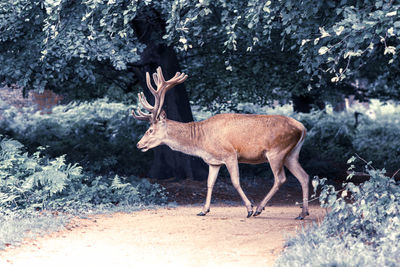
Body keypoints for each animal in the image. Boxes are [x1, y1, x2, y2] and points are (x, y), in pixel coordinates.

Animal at [133, 66, 310, 220]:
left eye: (150, 130)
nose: (138, 145)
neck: (201, 141)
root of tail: (302, 128)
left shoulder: (230, 154)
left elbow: (235, 181)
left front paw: (249, 209)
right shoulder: (214, 162)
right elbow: (209, 183)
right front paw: (203, 210)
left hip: (276, 152)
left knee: (280, 178)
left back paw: (259, 208)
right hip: (291, 154)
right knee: (304, 176)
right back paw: (302, 213)